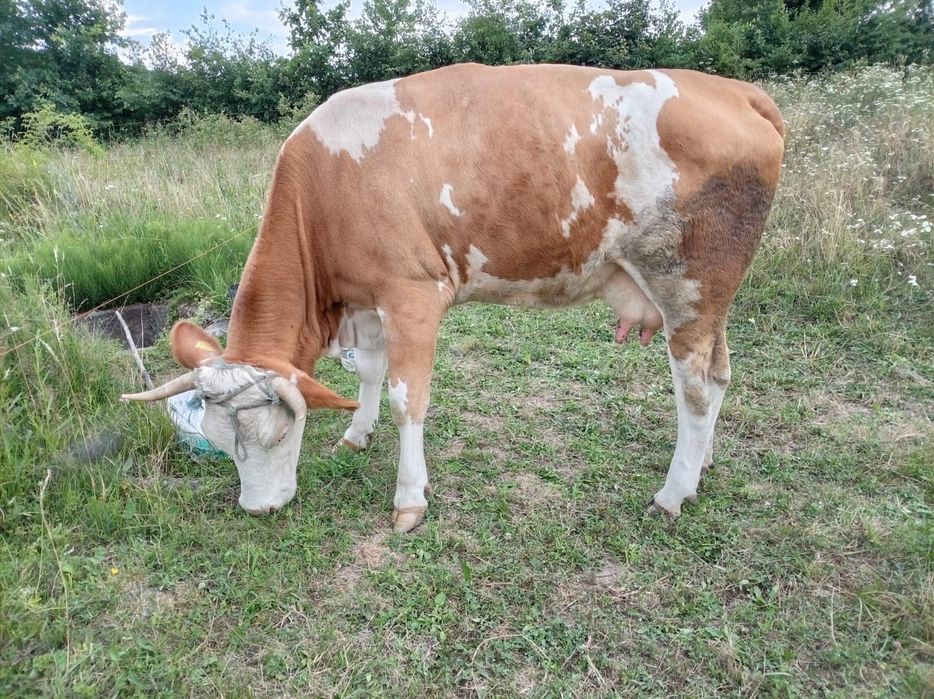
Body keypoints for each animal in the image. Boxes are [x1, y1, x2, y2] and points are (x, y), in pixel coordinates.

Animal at [123, 63, 784, 533]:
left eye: (280, 435)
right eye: (218, 442)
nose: (257, 509)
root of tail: (733, 91)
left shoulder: (411, 294)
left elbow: (406, 399)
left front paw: (409, 500)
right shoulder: (367, 298)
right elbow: (368, 372)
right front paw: (356, 434)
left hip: (688, 285)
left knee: (694, 390)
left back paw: (671, 494)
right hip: (710, 300)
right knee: (720, 376)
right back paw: (698, 470)